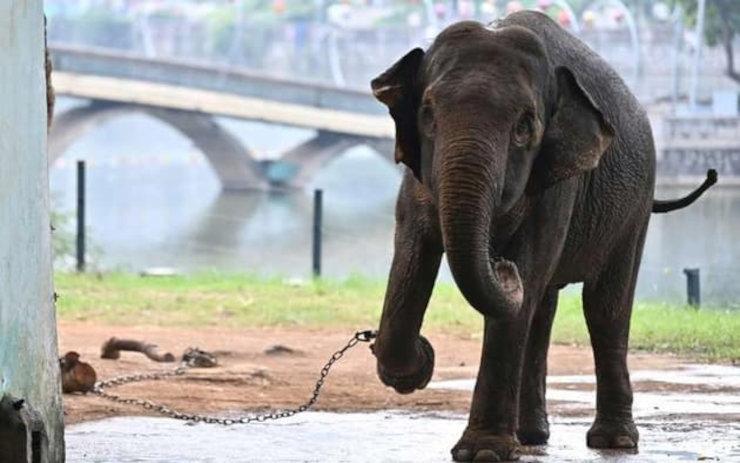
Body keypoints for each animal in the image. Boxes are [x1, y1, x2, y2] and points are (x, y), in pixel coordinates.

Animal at [370, 10, 716, 463]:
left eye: (524, 127)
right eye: (427, 114)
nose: (501, 265)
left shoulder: (558, 182)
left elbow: (525, 279)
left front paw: (483, 453)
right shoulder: (416, 179)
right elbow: (411, 254)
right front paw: (418, 364)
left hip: (637, 204)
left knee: (603, 307)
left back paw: (614, 442)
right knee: (543, 308)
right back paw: (532, 435)